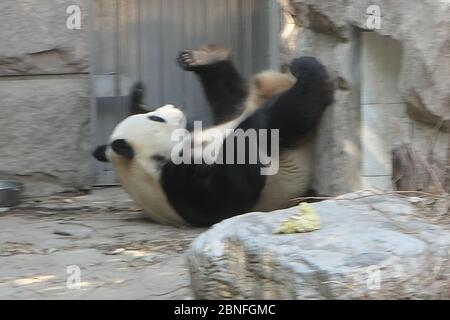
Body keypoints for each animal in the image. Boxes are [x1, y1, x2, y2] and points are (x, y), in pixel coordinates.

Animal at [92, 44, 334, 228]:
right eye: (156, 119)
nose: (172, 107)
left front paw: (137, 98)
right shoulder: (181, 188)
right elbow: (234, 190)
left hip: (239, 105)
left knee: (230, 96)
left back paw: (203, 58)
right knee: (288, 113)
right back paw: (307, 74)